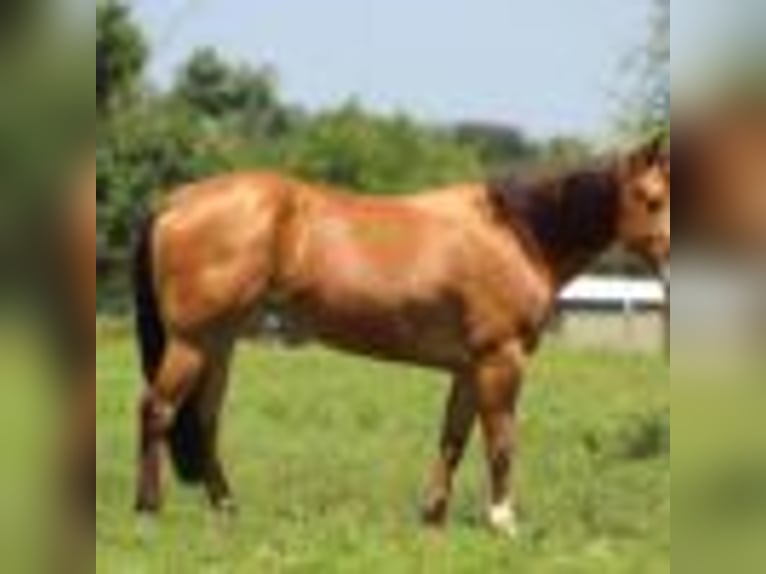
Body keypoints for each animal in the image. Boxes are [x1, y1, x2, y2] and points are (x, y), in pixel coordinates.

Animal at [132, 138, 669, 536]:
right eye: (653, 199)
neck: (516, 234)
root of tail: (176, 200)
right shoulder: (500, 359)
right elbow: (500, 441)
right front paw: (503, 522)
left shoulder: (469, 368)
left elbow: (453, 440)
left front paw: (433, 517)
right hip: (192, 341)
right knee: (157, 410)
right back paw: (148, 510)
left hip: (219, 342)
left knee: (204, 420)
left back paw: (226, 508)